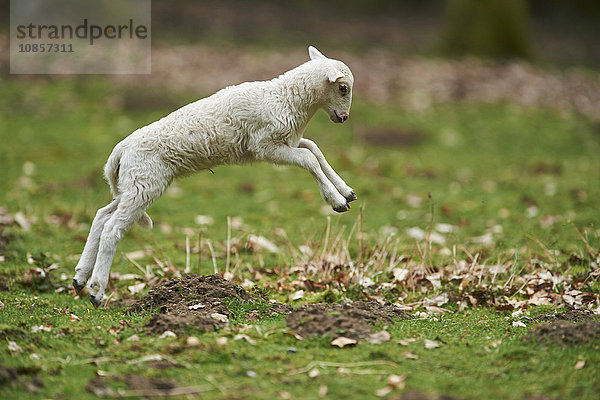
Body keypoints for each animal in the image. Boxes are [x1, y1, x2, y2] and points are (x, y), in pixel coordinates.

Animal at [74, 45, 356, 306]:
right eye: (343, 88)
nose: (344, 118)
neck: (287, 98)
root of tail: (119, 151)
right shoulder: (265, 146)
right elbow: (309, 158)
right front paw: (336, 201)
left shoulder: (286, 142)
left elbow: (314, 149)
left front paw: (347, 192)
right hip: (145, 183)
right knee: (112, 228)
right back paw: (96, 291)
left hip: (134, 185)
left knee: (102, 216)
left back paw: (80, 278)